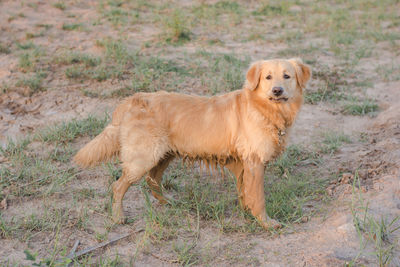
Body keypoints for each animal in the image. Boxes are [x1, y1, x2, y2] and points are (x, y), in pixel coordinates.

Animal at [75, 58, 312, 230]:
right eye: (268, 77)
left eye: (287, 76)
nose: (277, 90)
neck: (265, 110)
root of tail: (133, 99)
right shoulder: (255, 162)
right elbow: (259, 197)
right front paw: (266, 222)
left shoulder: (245, 164)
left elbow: (246, 192)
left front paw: (247, 211)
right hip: (143, 158)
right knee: (118, 186)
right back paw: (118, 217)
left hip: (164, 154)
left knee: (153, 180)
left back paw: (169, 203)